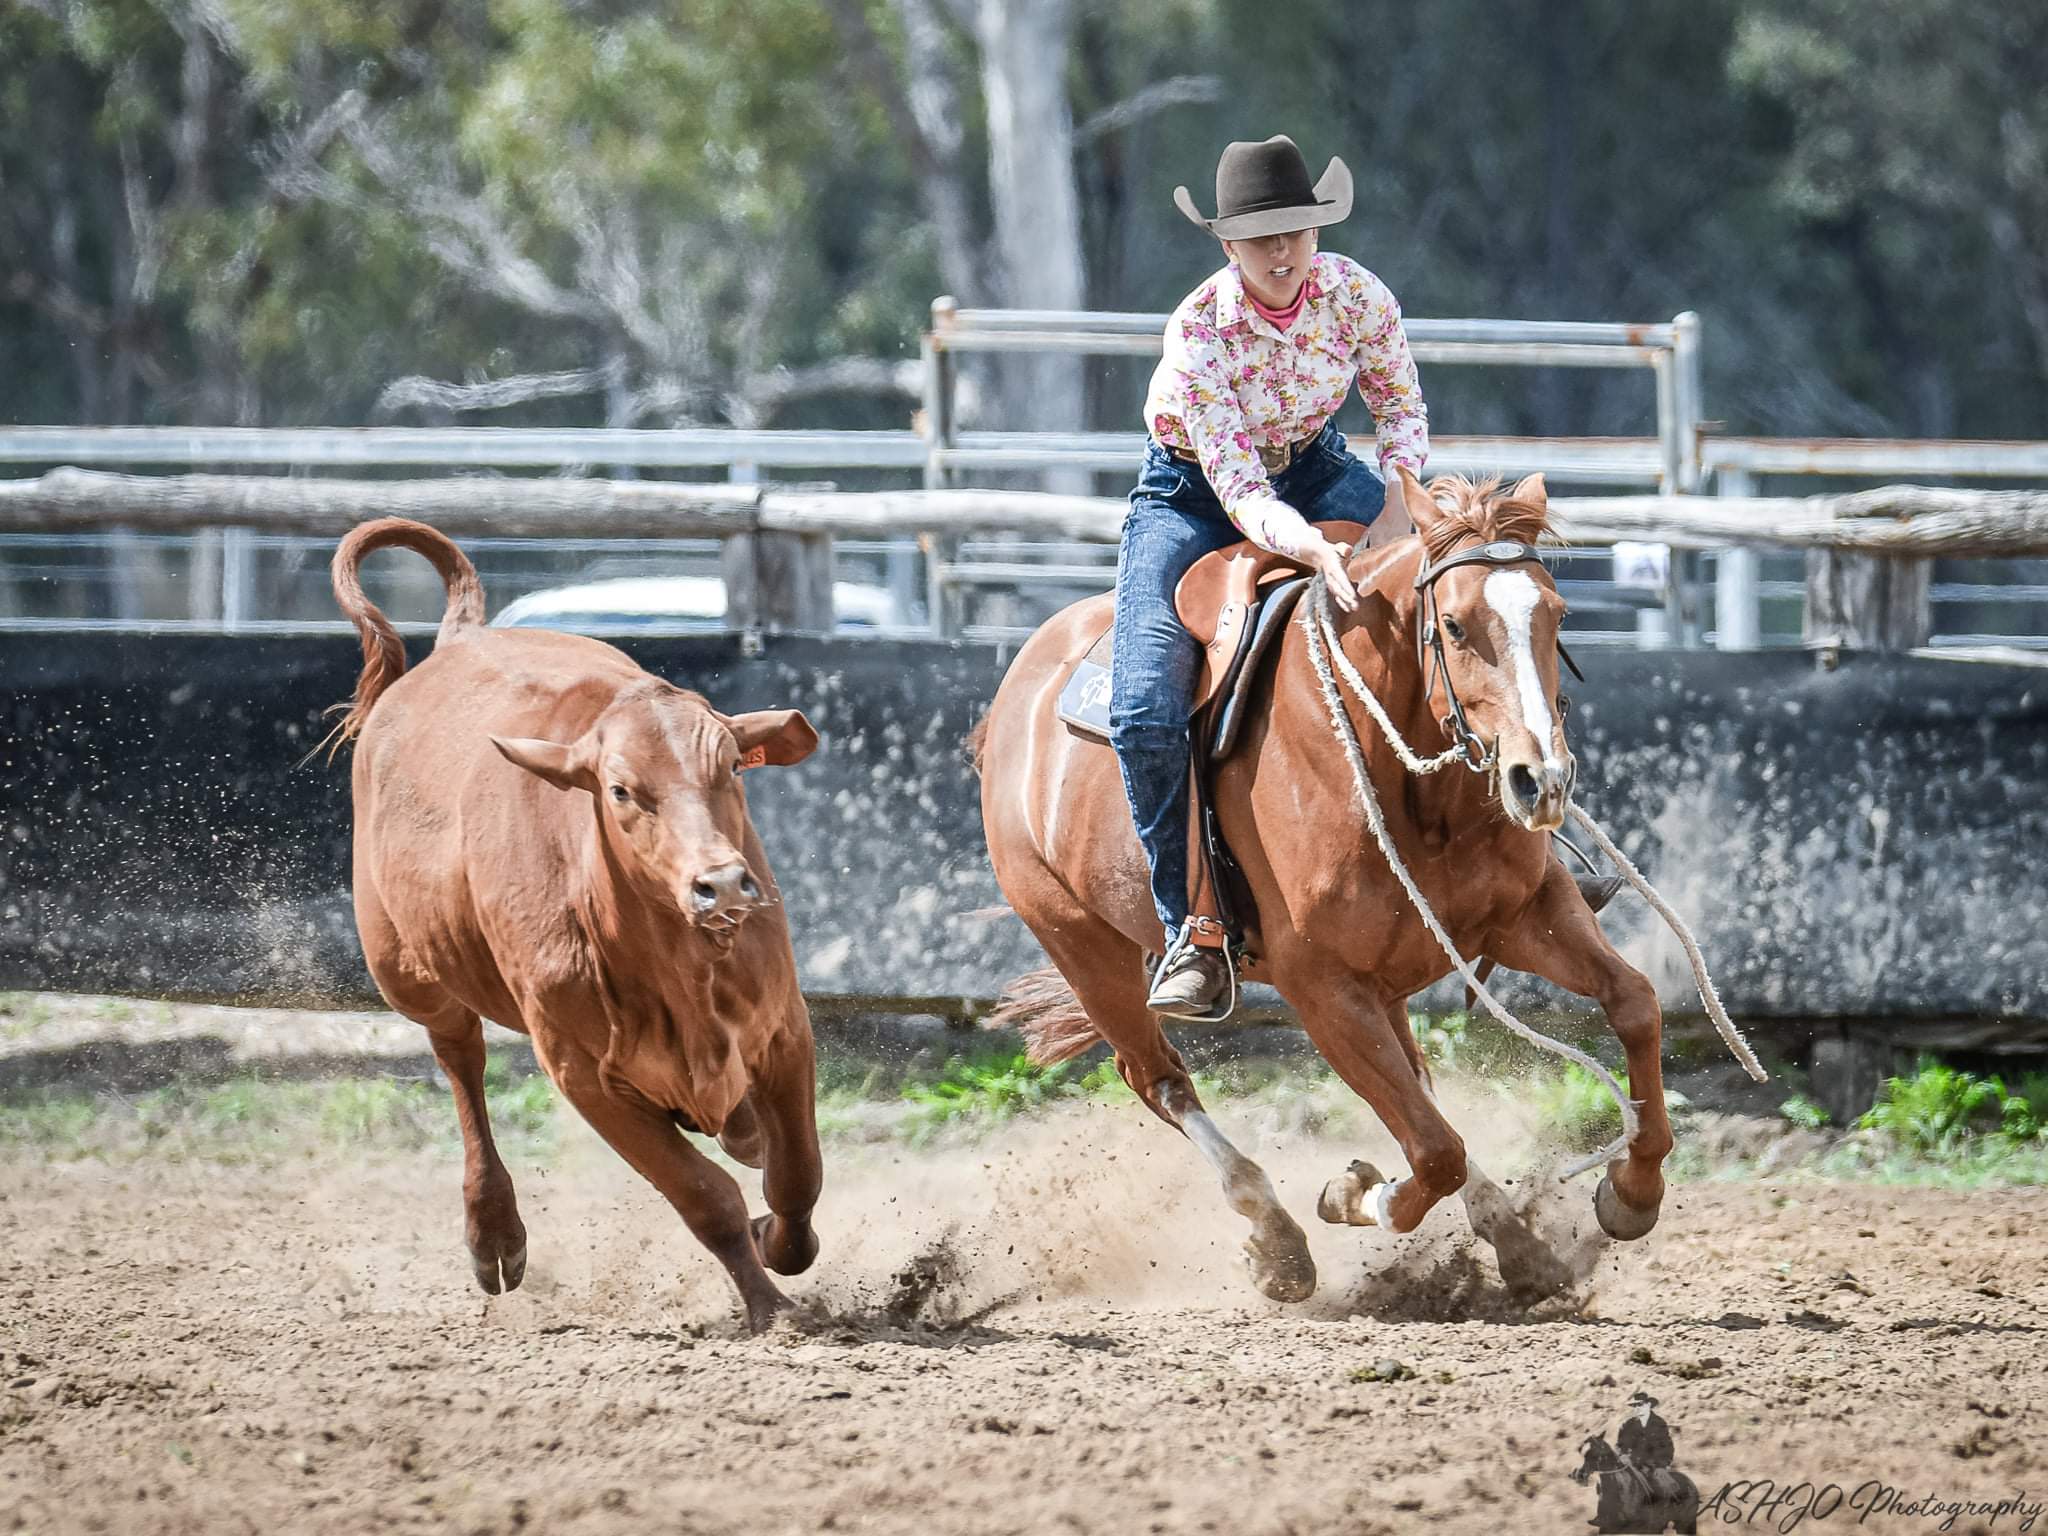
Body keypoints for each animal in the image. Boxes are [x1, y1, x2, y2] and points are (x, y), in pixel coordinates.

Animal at [329, 517, 822, 1331]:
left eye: (731, 767)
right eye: (620, 789)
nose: (722, 884)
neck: (673, 966)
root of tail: (459, 638)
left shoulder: (783, 1030)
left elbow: (796, 1177)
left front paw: (778, 1242)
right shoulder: (585, 1076)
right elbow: (706, 1200)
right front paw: (768, 1306)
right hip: (406, 971)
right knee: (460, 1060)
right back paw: (494, 1233)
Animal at [975, 468, 1673, 1301]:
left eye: (1557, 615)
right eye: (1456, 625)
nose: (1543, 780)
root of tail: (1016, 694)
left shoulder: (1527, 917)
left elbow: (1634, 1003)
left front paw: (1631, 1193)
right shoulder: (1322, 987)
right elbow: (1434, 1152)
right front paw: (1352, 1194)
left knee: (1418, 1083)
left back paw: (1514, 1239)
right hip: (1082, 945)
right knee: (1158, 1078)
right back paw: (1279, 1241)